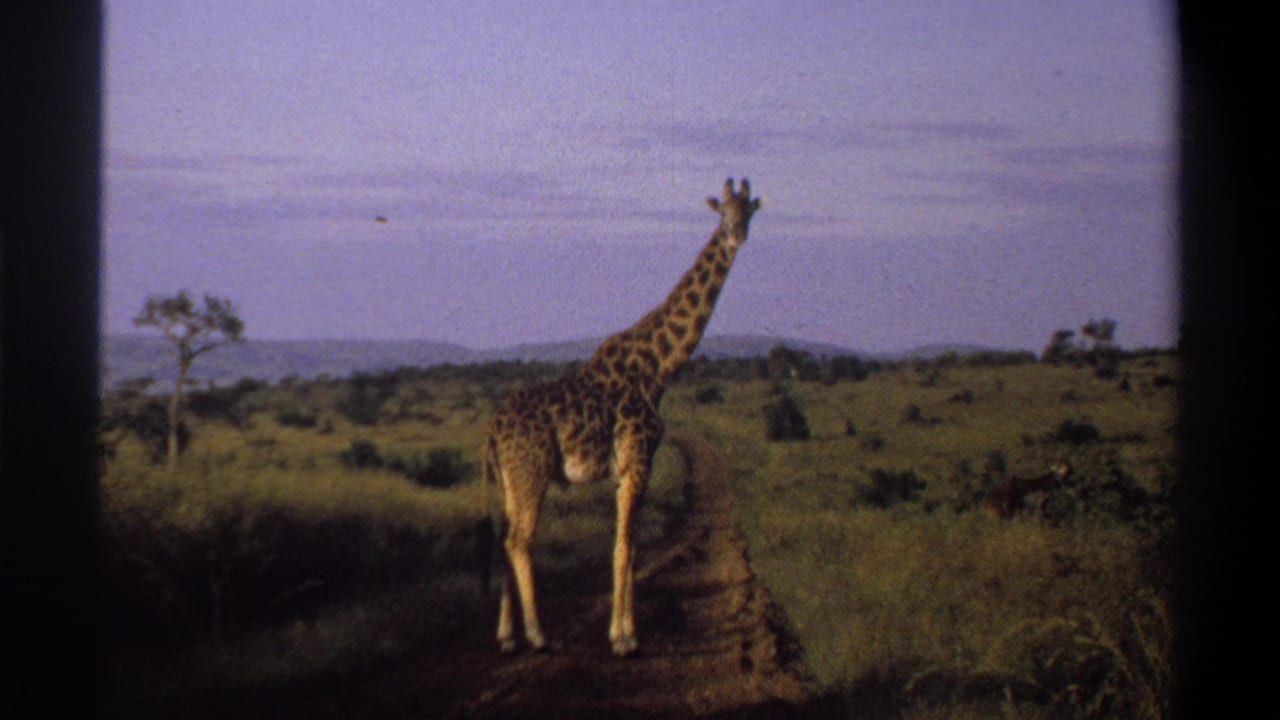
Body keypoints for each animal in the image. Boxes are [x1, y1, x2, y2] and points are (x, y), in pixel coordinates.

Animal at [481, 178, 761, 657]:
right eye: (723, 213)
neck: (659, 368)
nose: (736, 236)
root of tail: (492, 431)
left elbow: (633, 548)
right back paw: (537, 635)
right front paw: (623, 638)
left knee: (503, 540)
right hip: (531, 473)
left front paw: (629, 630)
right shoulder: (637, 462)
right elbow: (624, 547)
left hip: (508, 482)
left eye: (749, 213)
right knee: (519, 540)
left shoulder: (631, 470)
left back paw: (506, 636)